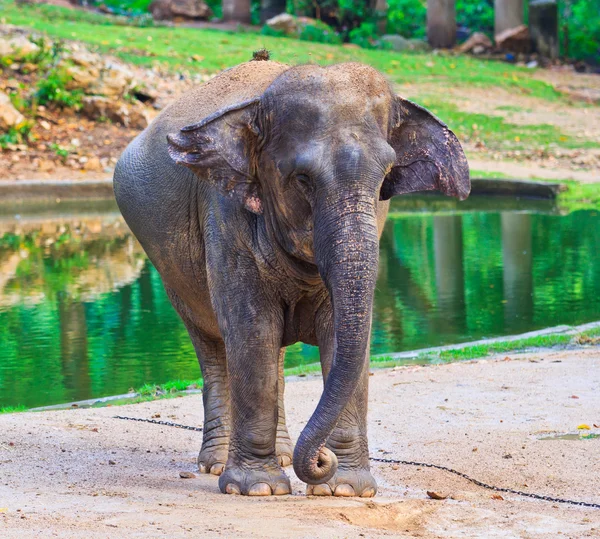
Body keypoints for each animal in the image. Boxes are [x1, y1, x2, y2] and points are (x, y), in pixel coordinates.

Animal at [112, 54, 468, 498]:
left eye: (385, 176)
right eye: (302, 179)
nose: (320, 461)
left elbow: (342, 333)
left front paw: (345, 489)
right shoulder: (225, 215)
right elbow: (253, 330)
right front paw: (258, 489)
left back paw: (281, 456)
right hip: (169, 268)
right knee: (213, 344)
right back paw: (217, 466)